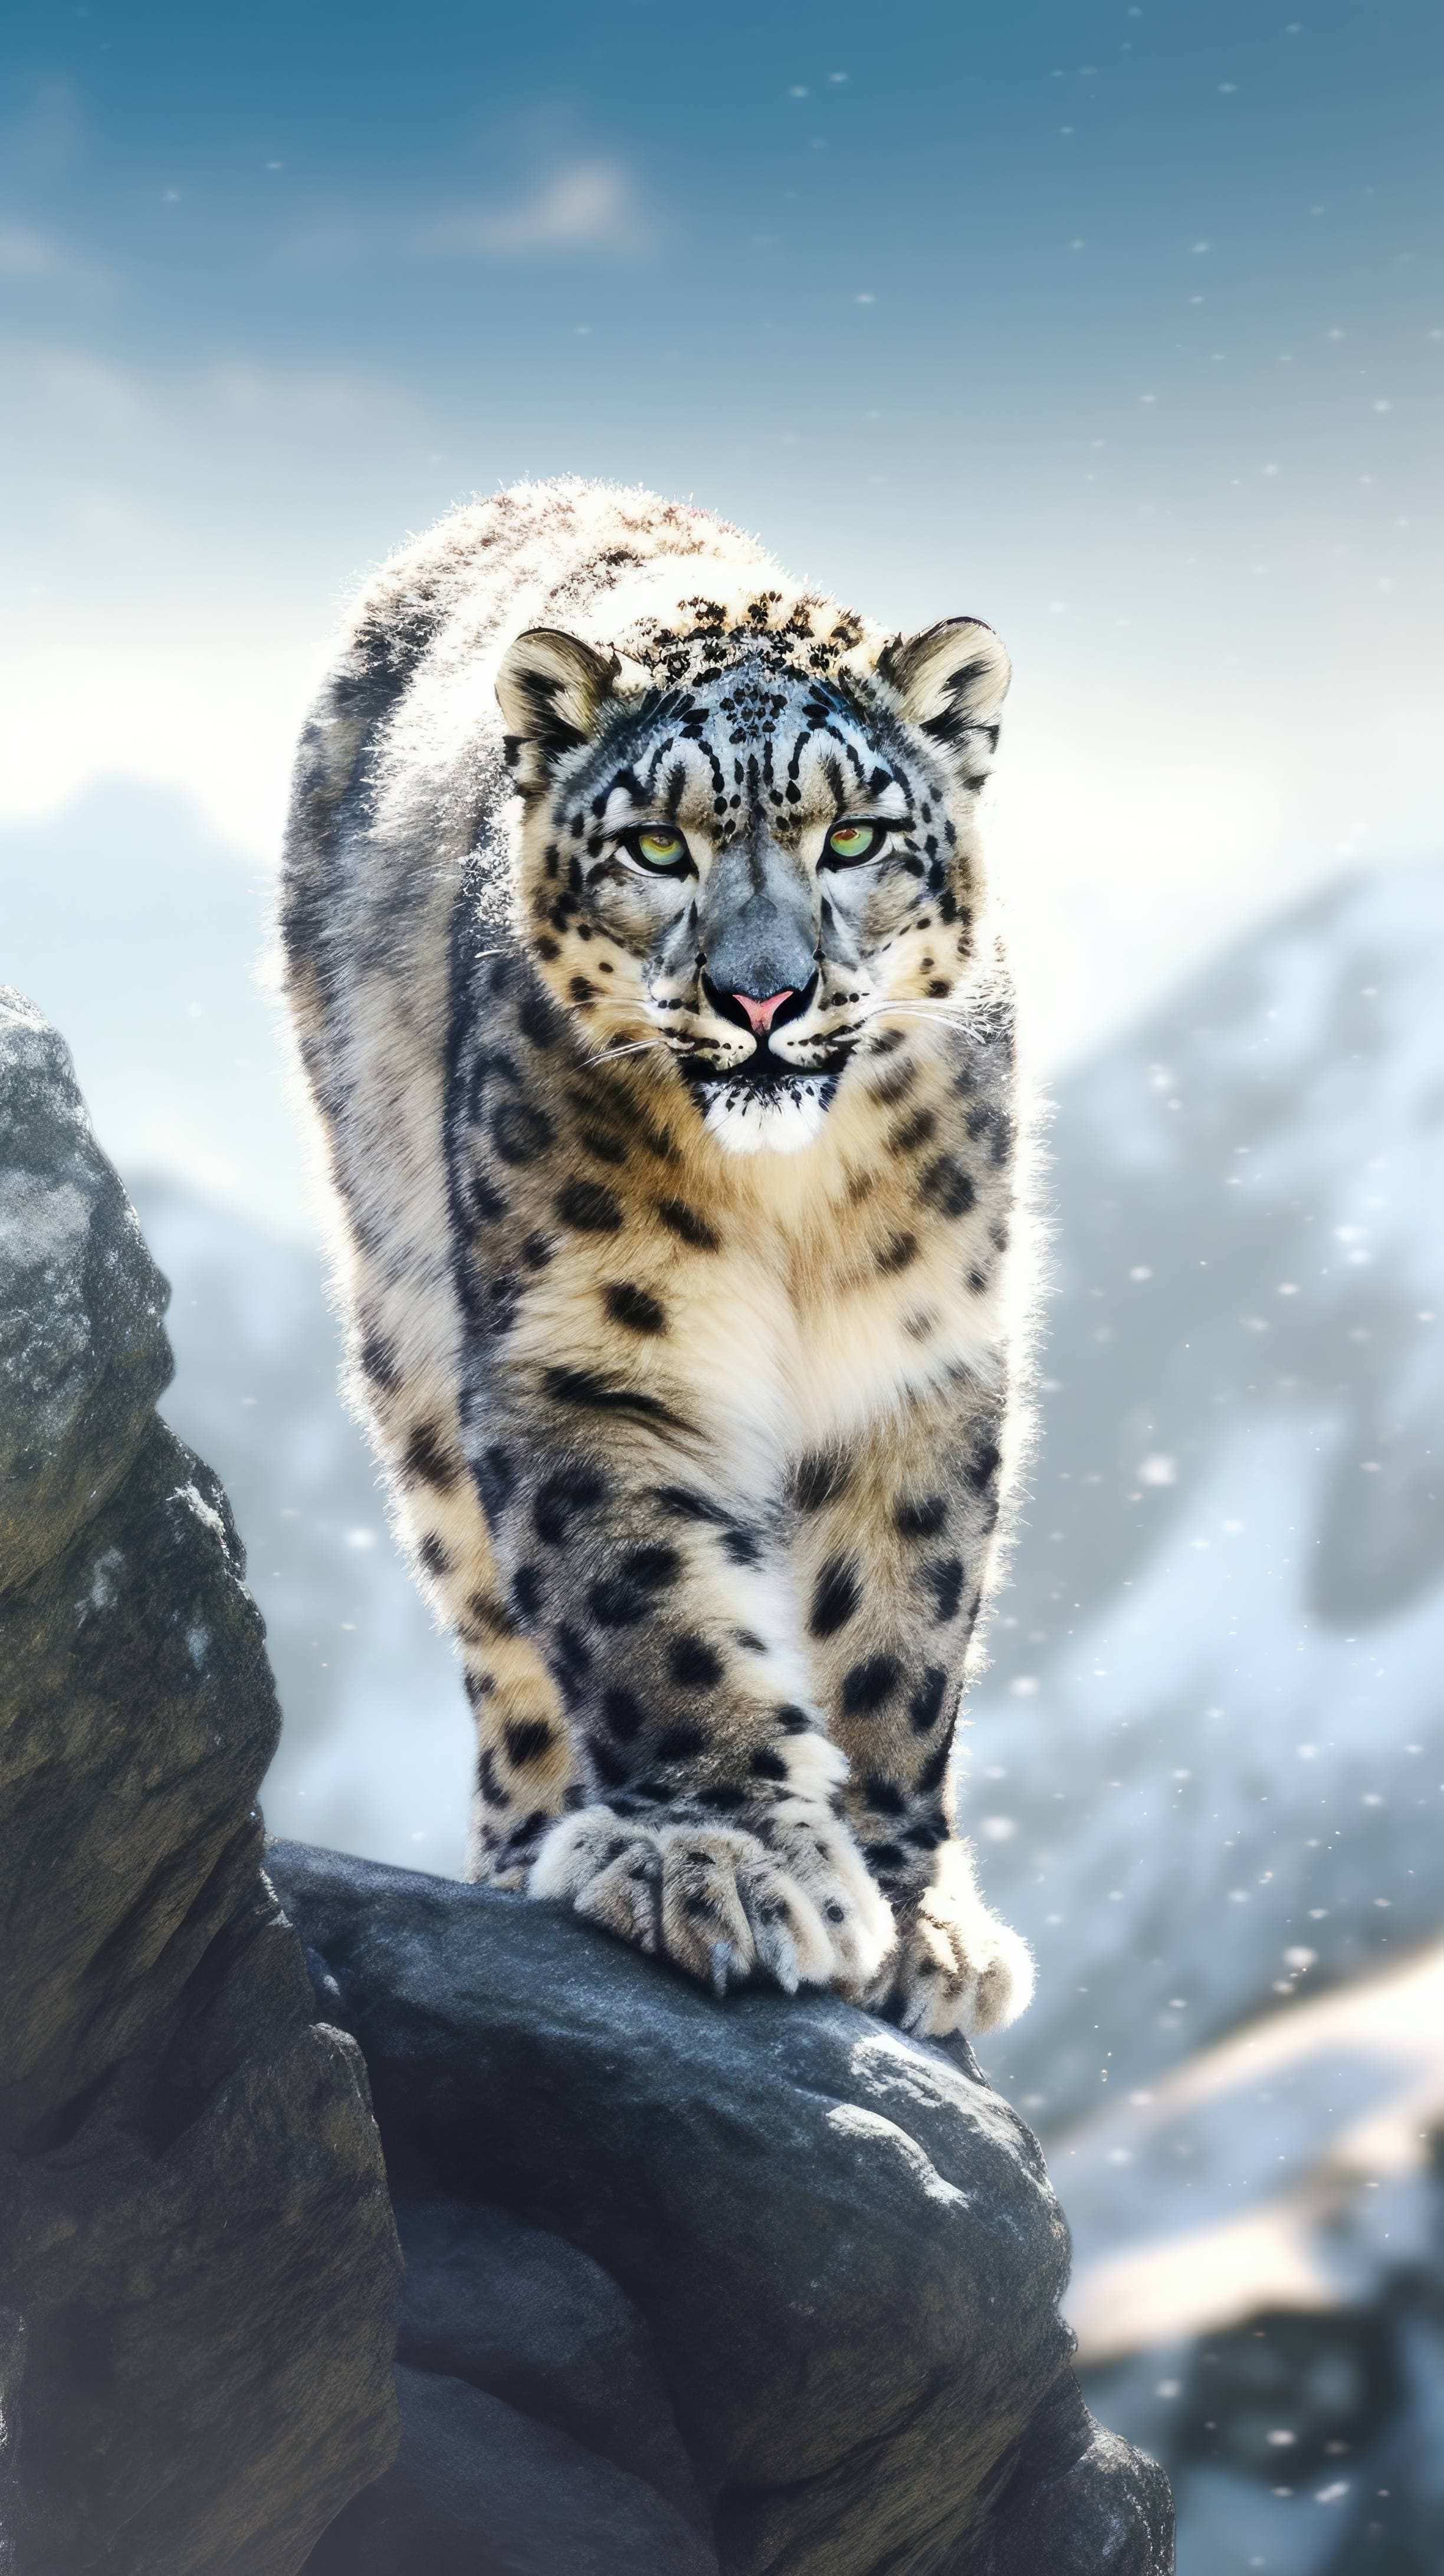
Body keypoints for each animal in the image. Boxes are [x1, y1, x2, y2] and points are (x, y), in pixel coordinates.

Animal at [280, 476, 1037, 2039]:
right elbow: (648, 1604)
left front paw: (910, 1912)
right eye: (657, 847)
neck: (789, 1205)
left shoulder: (919, 1351)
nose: (762, 996)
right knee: (495, 1627)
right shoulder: (588, 1344)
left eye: (855, 838)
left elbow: (902, 1615)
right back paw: (537, 1841)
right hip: (409, 1326)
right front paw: (726, 1860)